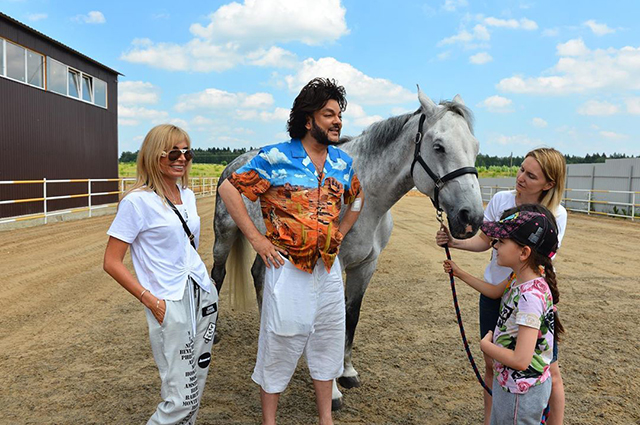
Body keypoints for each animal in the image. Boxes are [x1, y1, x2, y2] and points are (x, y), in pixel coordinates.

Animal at [212, 87, 482, 408]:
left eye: (475, 147)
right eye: (439, 146)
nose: (472, 217)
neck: (368, 199)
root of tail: (234, 165)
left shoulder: (366, 266)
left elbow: (351, 315)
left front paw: (347, 372)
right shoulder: (332, 265)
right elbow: (331, 319)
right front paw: (332, 391)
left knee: (258, 275)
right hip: (224, 236)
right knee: (217, 276)